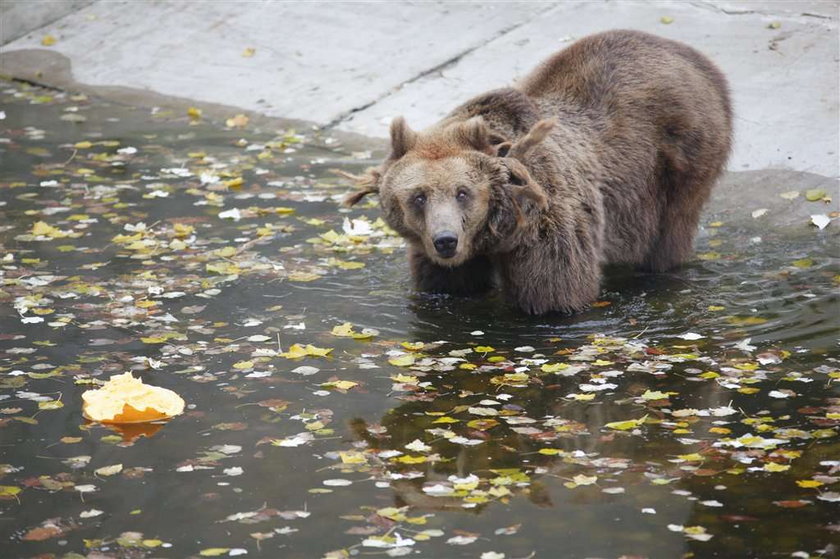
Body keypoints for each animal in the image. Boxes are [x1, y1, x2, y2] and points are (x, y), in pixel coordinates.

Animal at [344, 29, 732, 316]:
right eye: (418, 196)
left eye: (462, 192)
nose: (446, 240)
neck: (498, 230)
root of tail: (687, 52)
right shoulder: (435, 253)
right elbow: (448, 287)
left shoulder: (547, 225)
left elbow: (554, 296)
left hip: (681, 158)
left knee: (668, 234)